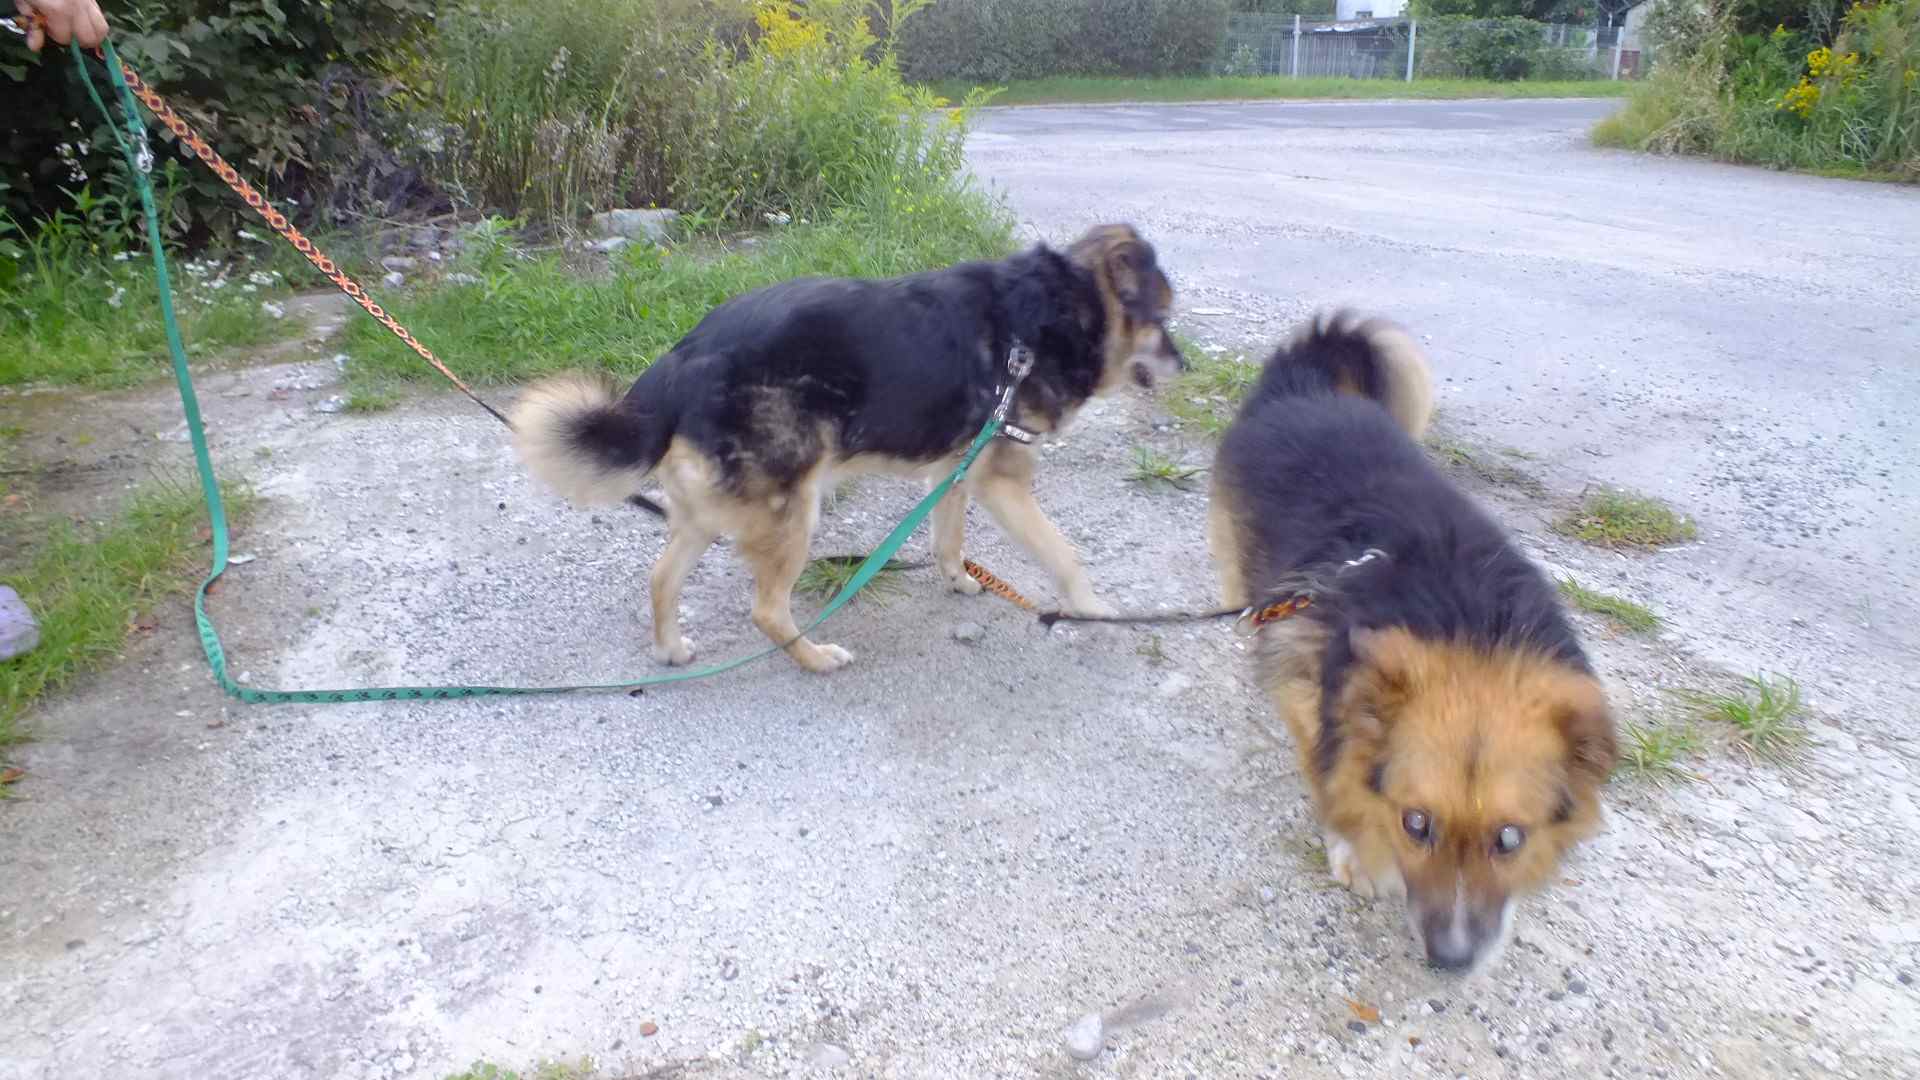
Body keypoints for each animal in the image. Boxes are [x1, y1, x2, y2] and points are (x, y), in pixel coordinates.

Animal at [509, 224, 1183, 673]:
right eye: (1163, 320)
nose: (1187, 365)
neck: (1064, 308)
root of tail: (683, 357)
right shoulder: (1002, 481)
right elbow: (1064, 554)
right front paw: (1091, 608)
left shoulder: (956, 470)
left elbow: (948, 538)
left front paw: (958, 579)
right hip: (792, 511)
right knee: (767, 609)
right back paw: (813, 657)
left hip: (711, 513)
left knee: (661, 578)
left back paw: (671, 647)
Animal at [1207, 312, 1617, 973]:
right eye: (1416, 824)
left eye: (1510, 838)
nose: (1452, 961)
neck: (1468, 622)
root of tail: (1305, 384)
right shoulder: (1307, 676)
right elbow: (1330, 770)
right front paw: (1357, 849)